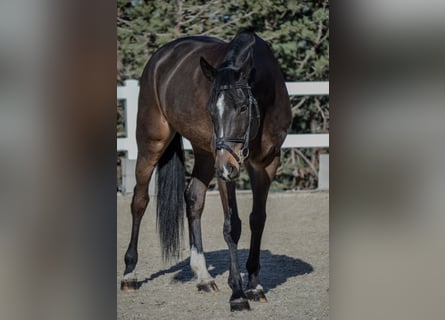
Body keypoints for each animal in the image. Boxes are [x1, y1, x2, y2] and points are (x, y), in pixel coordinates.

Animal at [119, 30, 292, 312]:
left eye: (243, 107)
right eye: (211, 110)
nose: (226, 166)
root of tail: (161, 57)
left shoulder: (267, 163)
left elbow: (257, 219)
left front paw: (254, 285)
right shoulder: (225, 169)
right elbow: (232, 226)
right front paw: (238, 293)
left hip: (204, 154)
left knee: (193, 200)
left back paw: (203, 276)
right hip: (153, 143)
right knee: (139, 201)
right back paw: (129, 274)